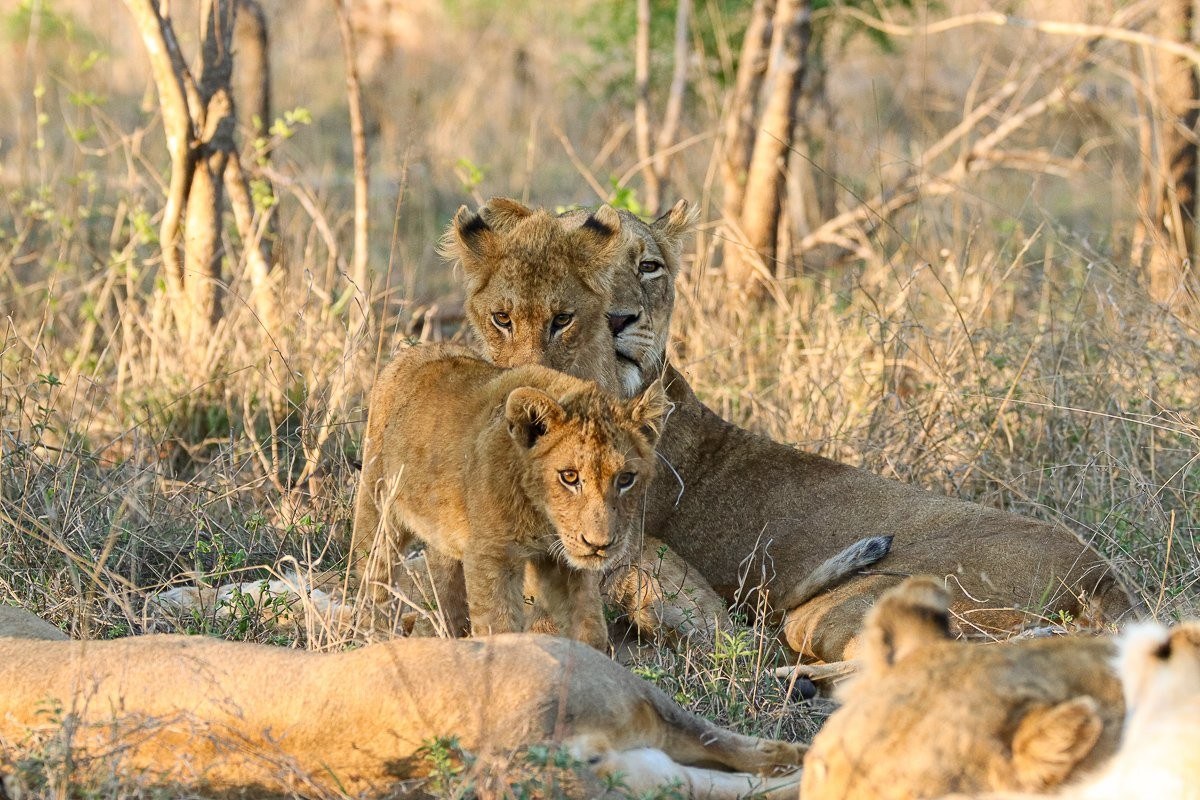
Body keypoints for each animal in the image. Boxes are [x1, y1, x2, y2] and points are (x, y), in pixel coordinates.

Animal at [351, 342, 667, 650]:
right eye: (569, 477)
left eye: (625, 479)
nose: (599, 545)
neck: (543, 516)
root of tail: (411, 351)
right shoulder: (491, 556)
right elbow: (499, 626)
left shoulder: (565, 564)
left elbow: (590, 627)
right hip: (377, 504)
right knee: (373, 571)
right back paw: (372, 635)